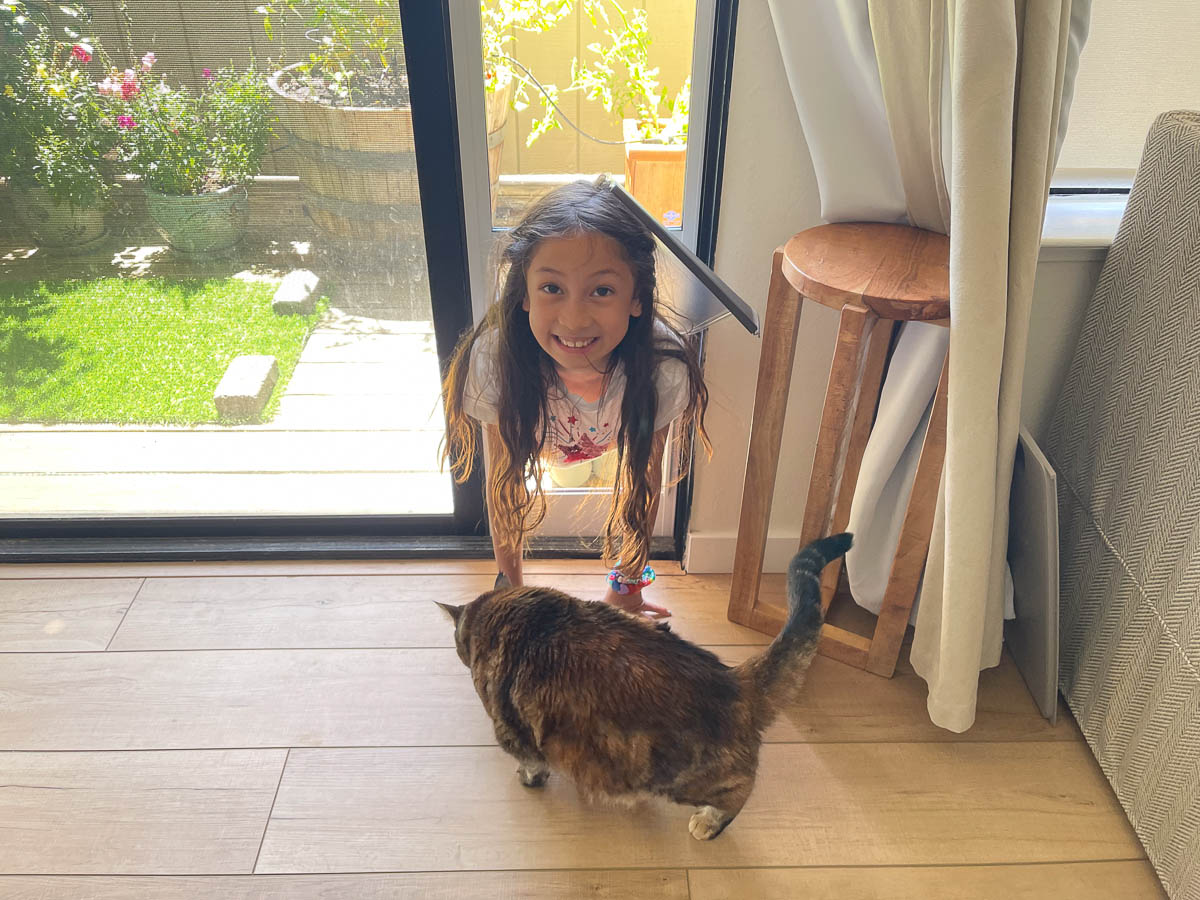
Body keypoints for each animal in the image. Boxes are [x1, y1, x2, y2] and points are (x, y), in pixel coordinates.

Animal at [437, 532, 852, 840]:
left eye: (457, 643)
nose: (459, 652)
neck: (504, 612)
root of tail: (734, 680)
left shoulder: (512, 729)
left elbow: (530, 761)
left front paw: (528, 779)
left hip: (679, 777)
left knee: (740, 788)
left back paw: (709, 822)